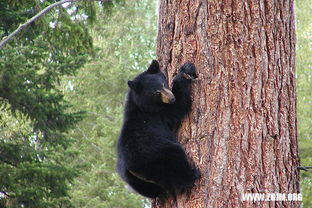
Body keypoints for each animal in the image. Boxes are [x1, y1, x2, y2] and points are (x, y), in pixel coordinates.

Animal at [116, 59, 199, 198]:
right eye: (156, 92)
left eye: (163, 84)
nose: (171, 98)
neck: (139, 104)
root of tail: (131, 169)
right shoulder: (159, 113)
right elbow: (180, 105)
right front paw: (185, 71)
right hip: (158, 158)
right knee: (175, 162)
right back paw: (193, 174)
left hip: (135, 182)